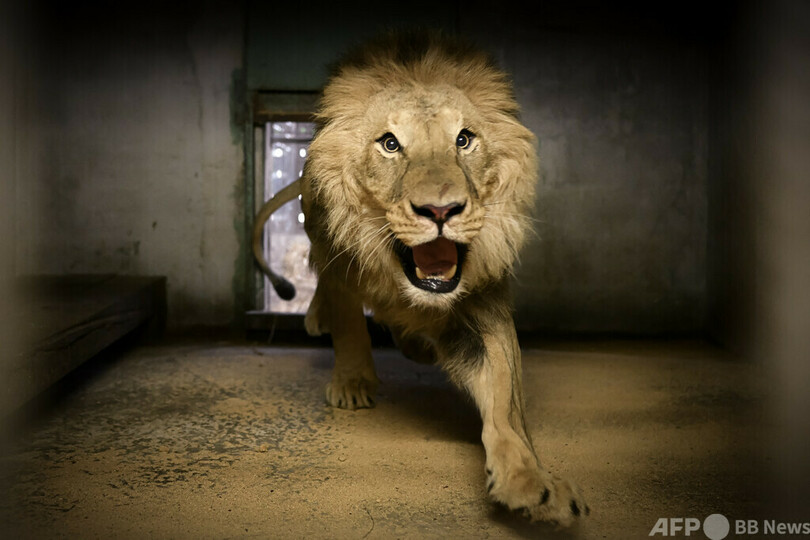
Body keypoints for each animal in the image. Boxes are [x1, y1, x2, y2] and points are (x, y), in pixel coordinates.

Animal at [249, 31, 584, 524]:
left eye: (464, 139)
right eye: (390, 144)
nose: (441, 211)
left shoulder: (483, 302)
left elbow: (505, 401)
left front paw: (530, 482)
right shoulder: (338, 258)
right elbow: (350, 325)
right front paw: (352, 383)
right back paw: (321, 320)